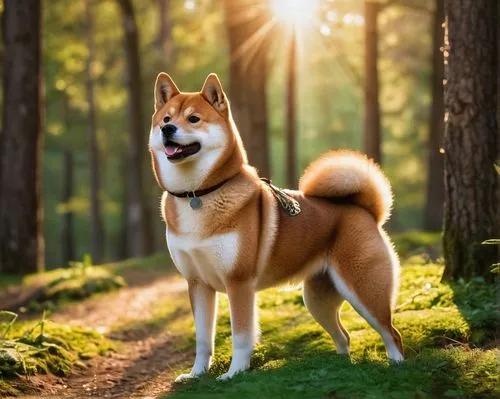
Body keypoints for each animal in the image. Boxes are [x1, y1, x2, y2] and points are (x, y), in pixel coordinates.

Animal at [147, 73, 402, 382]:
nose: (167, 129)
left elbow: (241, 336)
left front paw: (234, 374)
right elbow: (202, 340)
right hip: (317, 299)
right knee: (344, 336)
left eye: (193, 119)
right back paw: (340, 366)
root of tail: (365, 211)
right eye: (166, 118)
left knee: (392, 333)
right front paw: (196, 375)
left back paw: (398, 366)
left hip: (364, 291)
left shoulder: (239, 282)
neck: (197, 195)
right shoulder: (198, 284)